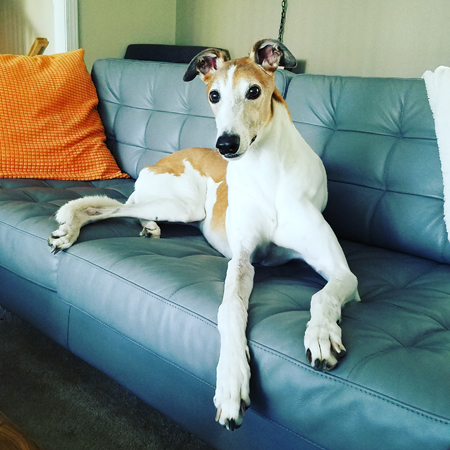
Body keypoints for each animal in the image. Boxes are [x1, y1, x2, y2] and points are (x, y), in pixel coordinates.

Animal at [48, 39, 360, 431]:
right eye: (214, 95)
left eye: (254, 91)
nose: (226, 145)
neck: (268, 170)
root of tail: (158, 162)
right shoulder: (241, 261)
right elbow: (229, 309)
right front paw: (231, 381)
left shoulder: (344, 274)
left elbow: (323, 295)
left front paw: (321, 334)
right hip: (182, 206)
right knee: (109, 208)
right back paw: (72, 228)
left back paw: (143, 227)